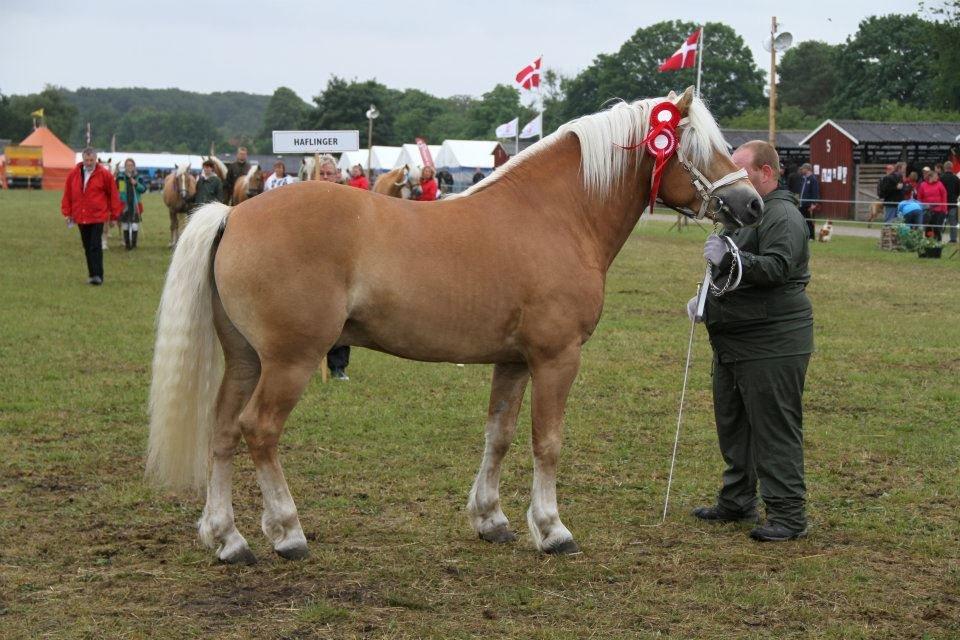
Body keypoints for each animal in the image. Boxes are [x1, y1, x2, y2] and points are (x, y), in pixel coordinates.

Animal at [146, 86, 760, 564]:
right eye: (699, 148)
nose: (751, 204)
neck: (554, 216)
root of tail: (233, 214)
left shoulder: (513, 360)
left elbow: (500, 435)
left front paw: (491, 519)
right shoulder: (557, 357)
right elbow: (547, 441)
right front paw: (552, 529)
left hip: (245, 358)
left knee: (223, 432)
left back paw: (228, 539)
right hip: (290, 360)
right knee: (260, 430)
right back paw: (288, 533)